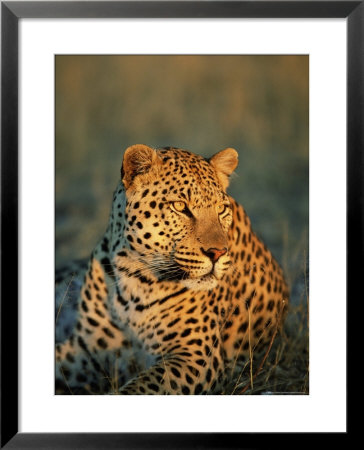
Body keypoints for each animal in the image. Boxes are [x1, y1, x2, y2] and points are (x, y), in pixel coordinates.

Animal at [55, 144, 288, 394]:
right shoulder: (86, 348)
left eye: (222, 209)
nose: (218, 253)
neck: (134, 275)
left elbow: (141, 387)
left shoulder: (196, 355)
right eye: (180, 206)